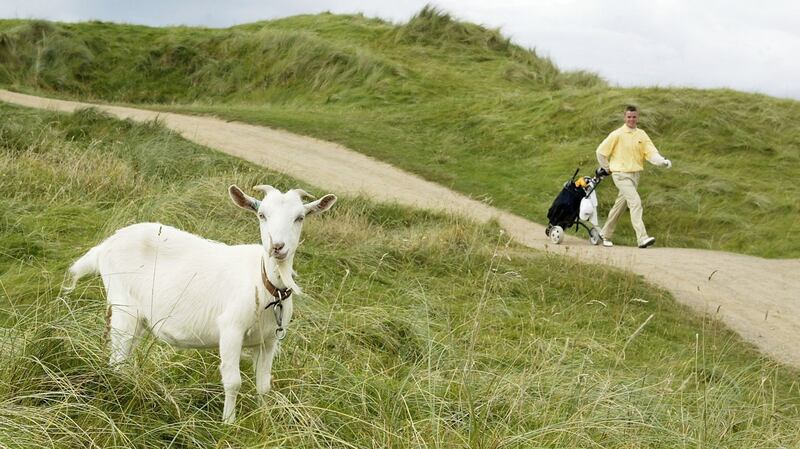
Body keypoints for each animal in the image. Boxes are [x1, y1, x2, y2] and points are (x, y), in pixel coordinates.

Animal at [66, 184, 336, 423]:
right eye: (262, 215)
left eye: (300, 217)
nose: (277, 247)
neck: (265, 283)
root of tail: (105, 245)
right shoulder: (231, 329)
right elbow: (233, 381)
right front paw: (229, 424)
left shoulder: (268, 340)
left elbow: (264, 385)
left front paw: (263, 420)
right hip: (124, 305)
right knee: (118, 357)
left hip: (138, 317)